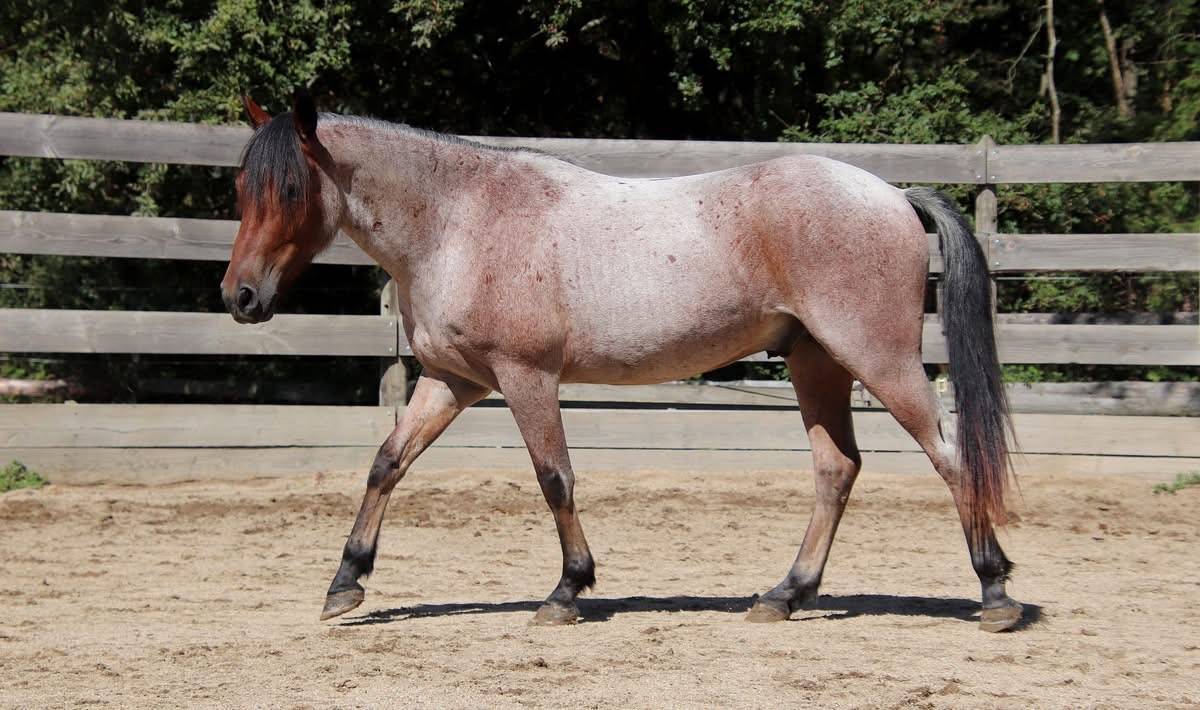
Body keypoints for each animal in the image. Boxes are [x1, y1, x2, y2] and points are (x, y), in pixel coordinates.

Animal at [221, 92, 1022, 632]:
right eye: (239, 187)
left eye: (289, 188)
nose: (240, 296)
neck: (461, 221)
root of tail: (890, 193)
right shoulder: (454, 381)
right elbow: (387, 463)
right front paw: (345, 582)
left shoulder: (526, 378)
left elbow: (555, 478)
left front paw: (567, 591)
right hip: (815, 365)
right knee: (837, 471)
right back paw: (784, 595)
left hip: (879, 361)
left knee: (952, 456)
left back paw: (995, 593)